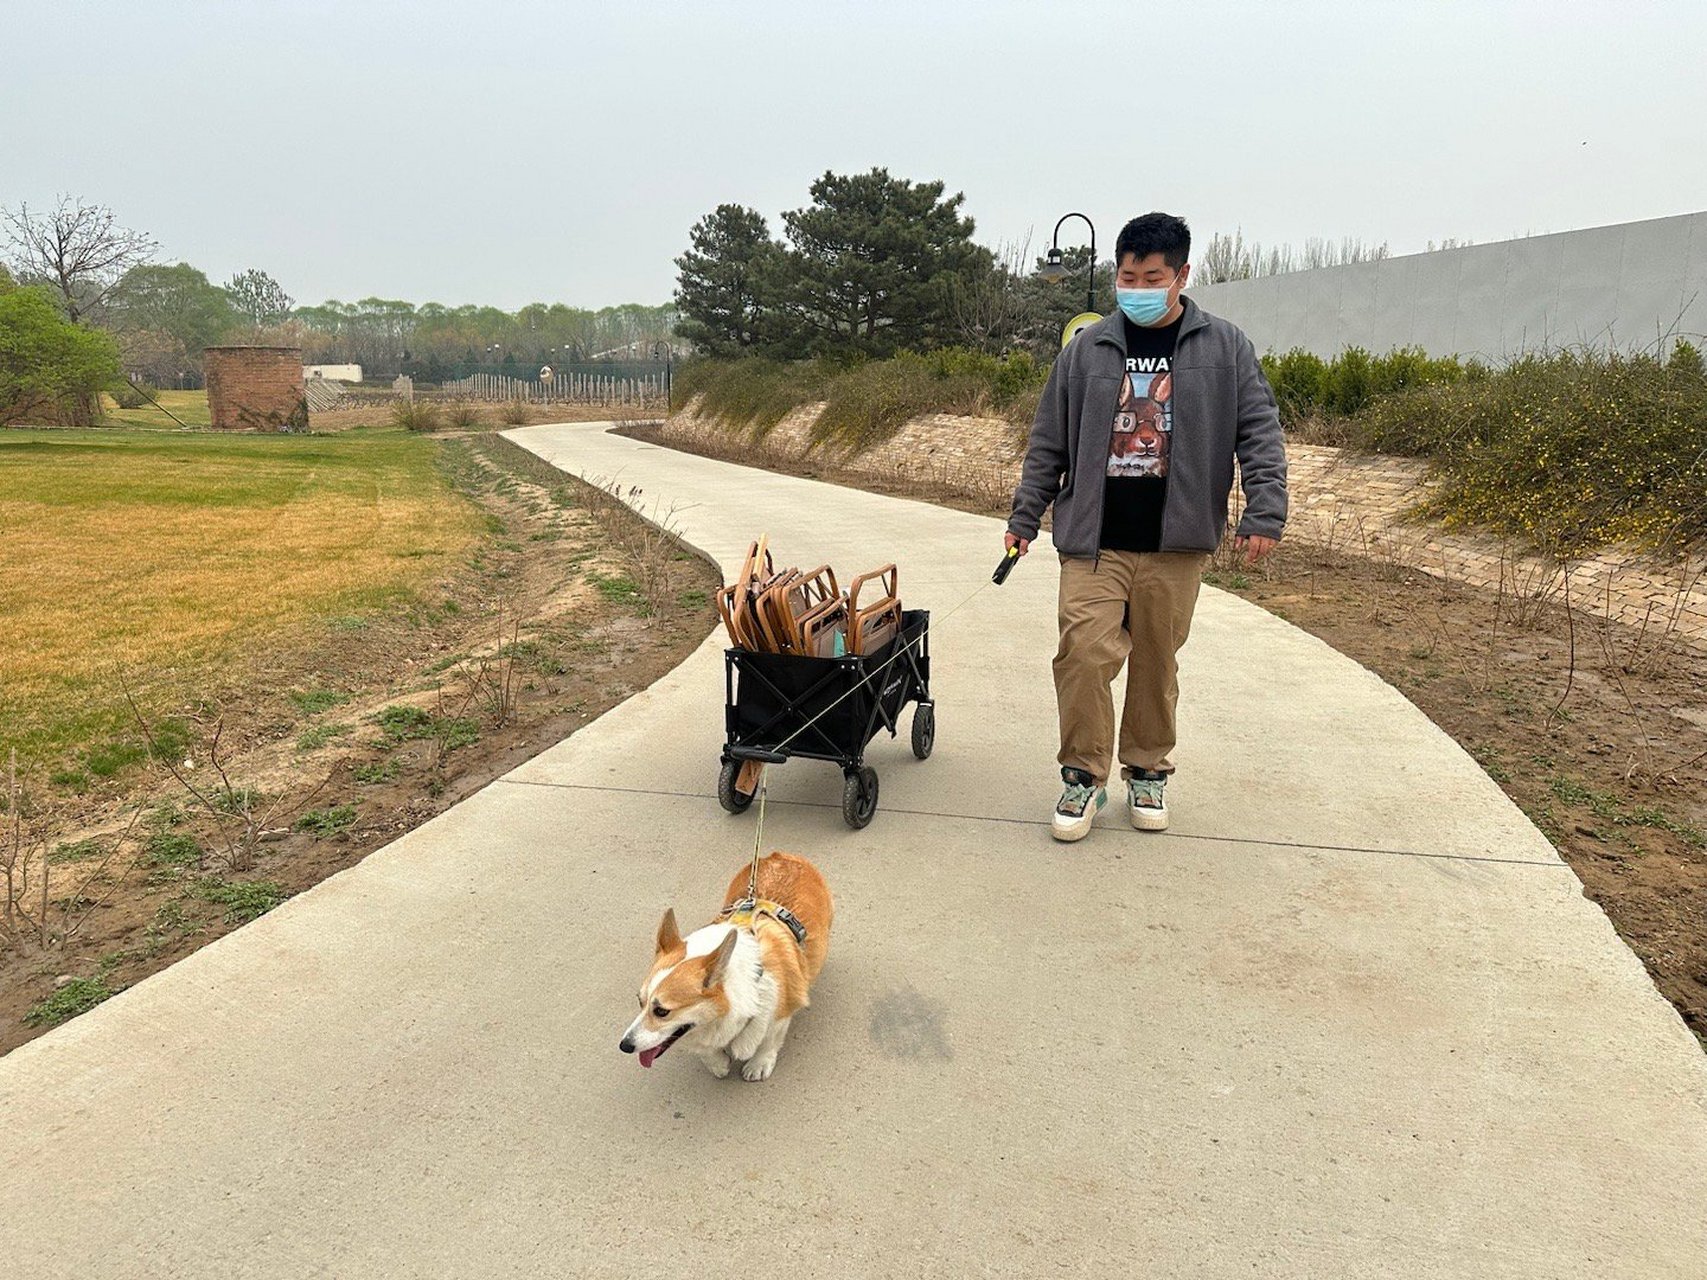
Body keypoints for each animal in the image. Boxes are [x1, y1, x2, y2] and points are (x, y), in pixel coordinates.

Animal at [621, 853, 833, 1085]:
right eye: (640, 1001)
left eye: (661, 1011)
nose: (624, 1046)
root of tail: (782, 855)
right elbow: (708, 1051)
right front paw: (718, 1064)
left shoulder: (781, 1011)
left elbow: (769, 1040)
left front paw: (759, 1065)